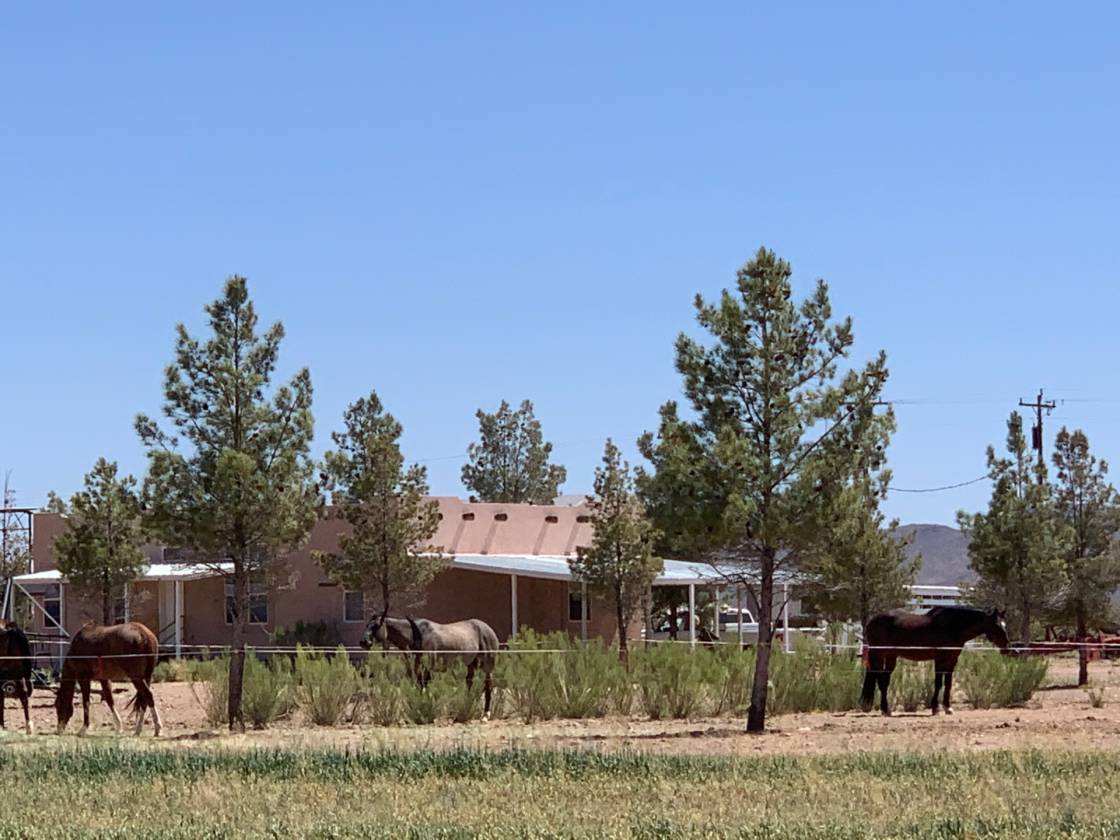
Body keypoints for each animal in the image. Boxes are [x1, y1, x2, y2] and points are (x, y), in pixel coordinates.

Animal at [360, 613, 499, 719]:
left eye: (376, 625)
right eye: (367, 625)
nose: (363, 642)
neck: (415, 634)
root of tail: (488, 628)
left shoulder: (426, 670)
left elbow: (423, 688)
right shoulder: (416, 670)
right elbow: (419, 688)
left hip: (488, 665)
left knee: (488, 686)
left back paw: (486, 715)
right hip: (471, 664)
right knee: (470, 684)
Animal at [861, 606, 1010, 716]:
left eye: (1005, 624)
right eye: (997, 625)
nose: (1006, 648)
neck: (952, 627)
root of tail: (871, 621)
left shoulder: (952, 660)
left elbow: (948, 683)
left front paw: (948, 708)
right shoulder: (940, 658)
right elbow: (938, 683)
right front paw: (935, 708)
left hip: (891, 656)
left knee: (884, 680)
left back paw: (885, 709)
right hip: (879, 655)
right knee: (881, 681)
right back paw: (886, 710)